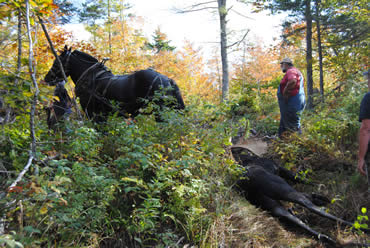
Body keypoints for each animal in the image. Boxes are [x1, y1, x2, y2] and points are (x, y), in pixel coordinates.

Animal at [44, 45, 185, 123]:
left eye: (57, 62)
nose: (46, 78)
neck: (91, 78)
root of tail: (167, 80)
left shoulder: (92, 112)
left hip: (161, 111)